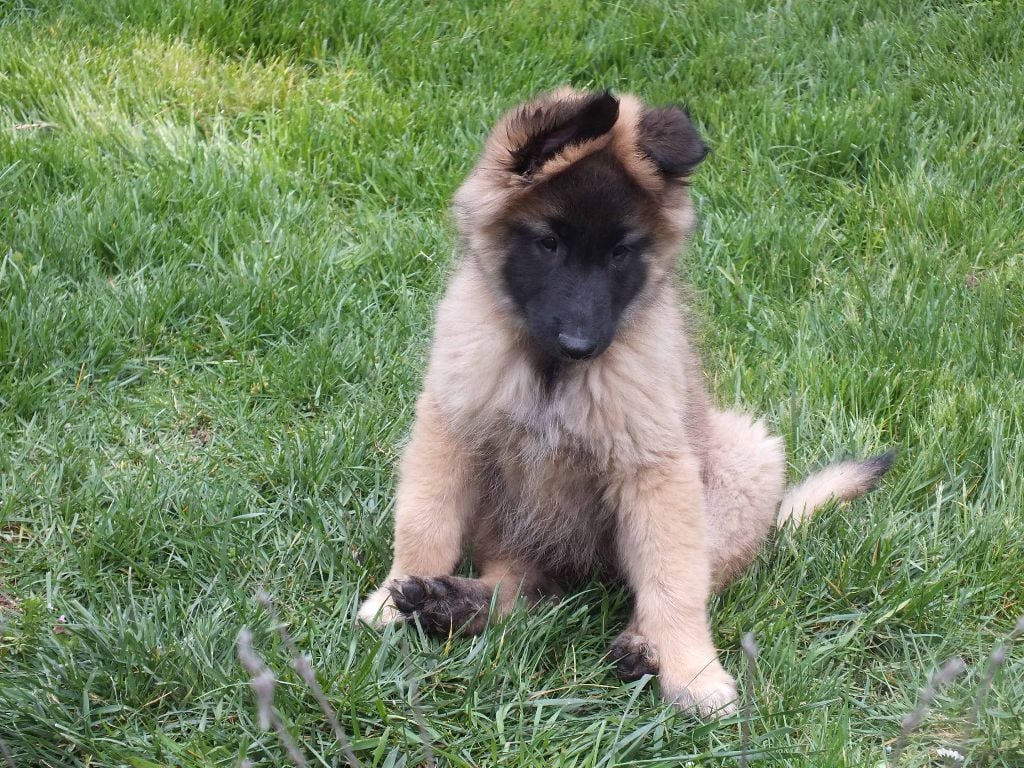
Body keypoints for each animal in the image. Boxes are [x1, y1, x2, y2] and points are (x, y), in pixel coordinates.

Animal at [358, 87, 888, 720]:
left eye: (620, 252)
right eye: (548, 243)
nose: (581, 345)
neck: (552, 373)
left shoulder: (654, 468)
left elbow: (673, 583)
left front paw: (693, 673)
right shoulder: (451, 428)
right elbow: (424, 522)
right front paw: (391, 600)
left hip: (745, 458)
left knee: (673, 583)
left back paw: (639, 648)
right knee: (522, 586)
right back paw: (451, 604)